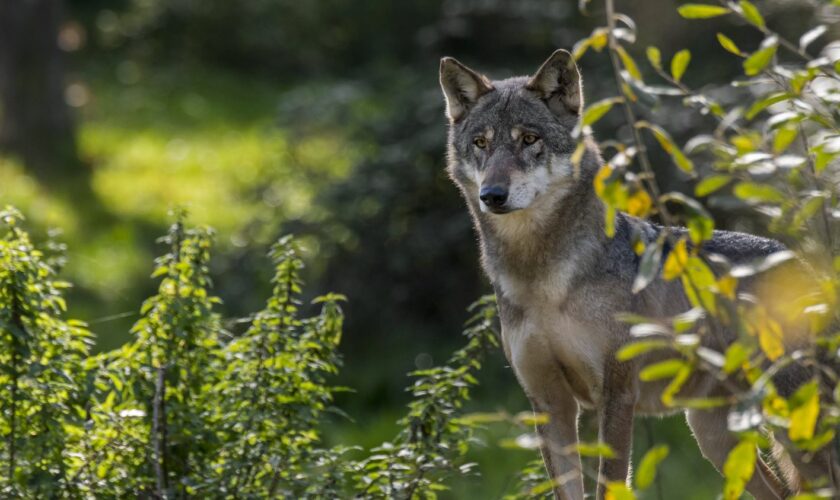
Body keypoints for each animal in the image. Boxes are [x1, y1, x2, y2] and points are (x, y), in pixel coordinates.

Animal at [436, 47, 836, 500]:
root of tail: (803, 265)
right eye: (481, 143)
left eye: (529, 139)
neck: (542, 279)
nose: (492, 195)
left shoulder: (616, 395)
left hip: (800, 433)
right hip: (716, 440)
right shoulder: (549, 404)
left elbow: (608, 484)